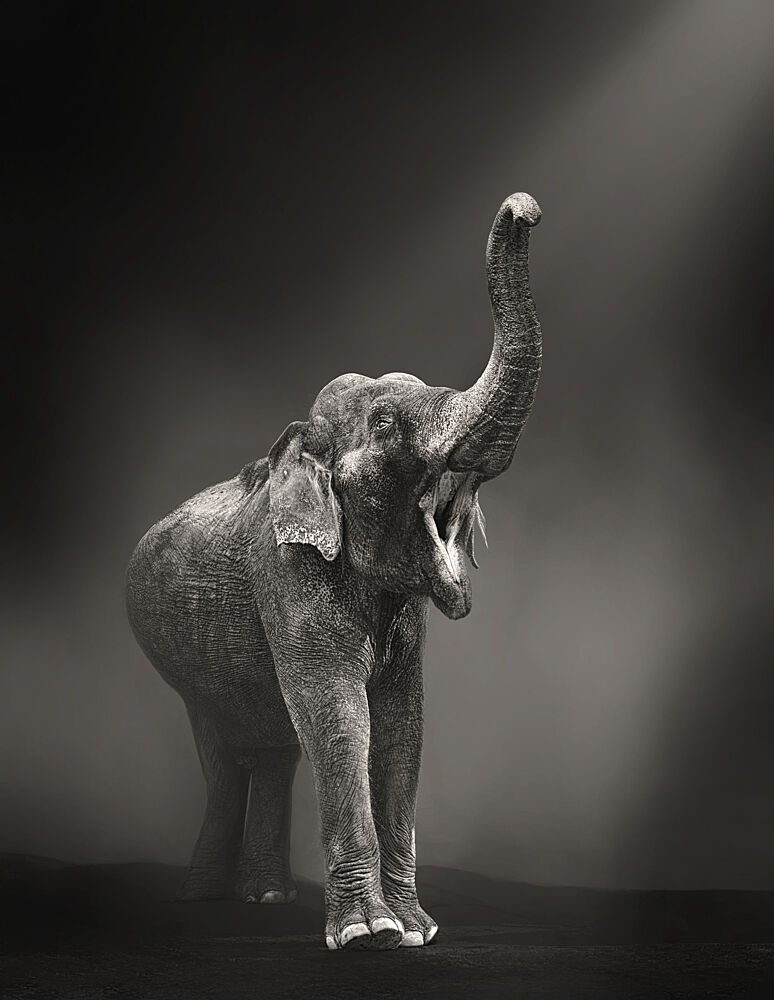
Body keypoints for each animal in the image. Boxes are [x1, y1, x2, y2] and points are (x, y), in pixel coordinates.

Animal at [125, 192, 543, 951]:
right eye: (383, 425)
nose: (525, 207)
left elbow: (404, 723)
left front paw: (416, 932)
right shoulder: (285, 570)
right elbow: (340, 716)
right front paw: (367, 934)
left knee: (272, 747)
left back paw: (264, 895)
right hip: (186, 670)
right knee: (223, 754)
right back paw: (202, 897)